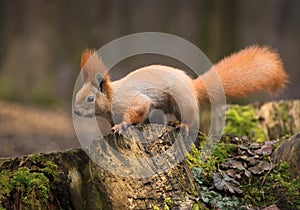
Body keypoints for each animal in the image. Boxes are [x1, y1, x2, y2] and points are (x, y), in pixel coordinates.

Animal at [74, 46, 288, 133]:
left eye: (90, 99)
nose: (75, 112)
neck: (111, 98)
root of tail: (192, 86)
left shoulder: (130, 99)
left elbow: (137, 110)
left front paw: (122, 125)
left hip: (181, 101)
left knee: (190, 118)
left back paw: (182, 125)